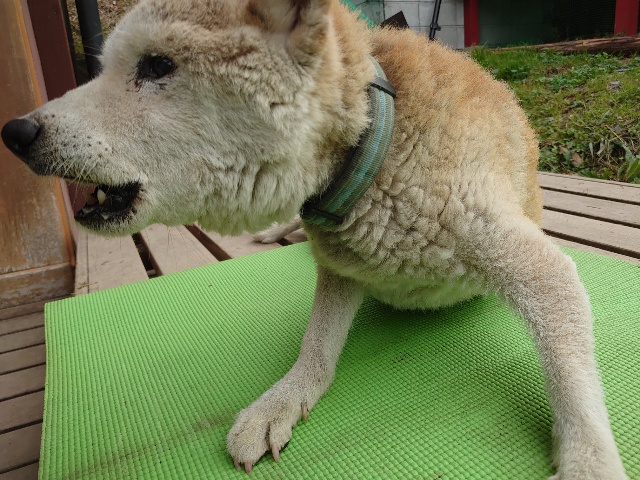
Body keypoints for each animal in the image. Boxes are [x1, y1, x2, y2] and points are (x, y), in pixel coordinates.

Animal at [1, 0, 627, 477]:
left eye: (156, 65)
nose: (16, 131)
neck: (371, 149)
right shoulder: (341, 266)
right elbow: (317, 349)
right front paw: (284, 396)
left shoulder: (530, 263)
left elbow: (573, 384)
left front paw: (589, 459)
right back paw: (279, 231)